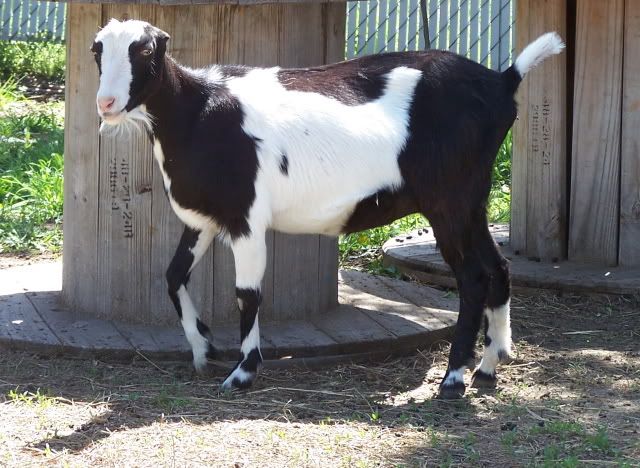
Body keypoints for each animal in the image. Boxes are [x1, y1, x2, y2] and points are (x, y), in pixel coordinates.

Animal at [92, 19, 563, 398]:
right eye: (97, 50)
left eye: (145, 50)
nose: (106, 104)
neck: (198, 111)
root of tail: (502, 80)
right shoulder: (205, 219)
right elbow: (173, 276)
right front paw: (203, 346)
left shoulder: (247, 218)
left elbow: (248, 294)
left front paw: (243, 373)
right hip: (471, 201)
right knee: (498, 266)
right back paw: (489, 365)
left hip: (449, 200)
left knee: (473, 277)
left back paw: (453, 378)